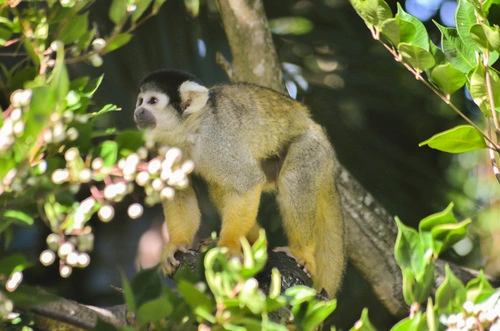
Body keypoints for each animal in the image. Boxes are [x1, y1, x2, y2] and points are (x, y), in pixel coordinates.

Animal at [133, 70, 346, 298]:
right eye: (140, 100)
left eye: (153, 101)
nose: (139, 111)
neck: (189, 130)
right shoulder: (164, 146)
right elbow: (179, 192)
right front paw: (176, 243)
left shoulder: (217, 140)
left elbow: (248, 182)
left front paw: (229, 243)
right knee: (218, 185)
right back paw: (254, 240)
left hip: (313, 147)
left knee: (293, 177)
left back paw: (301, 251)